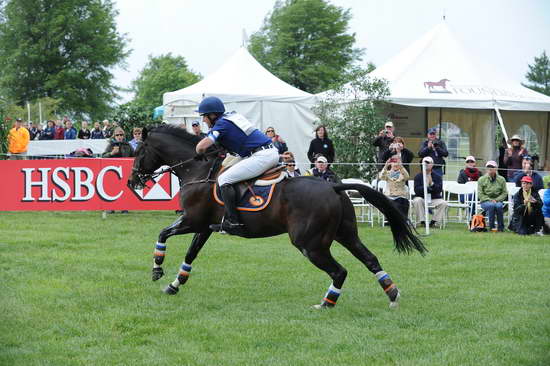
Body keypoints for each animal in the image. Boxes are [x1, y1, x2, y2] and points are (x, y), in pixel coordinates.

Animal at [128, 126, 426, 308]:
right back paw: (392, 294)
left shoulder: (192, 221)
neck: (198, 170)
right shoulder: (204, 226)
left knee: (339, 271)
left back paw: (326, 303)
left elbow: (163, 234)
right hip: (345, 234)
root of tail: (332, 186)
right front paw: (174, 284)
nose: (132, 181)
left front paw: (157, 269)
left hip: (310, 244)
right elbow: (191, 255)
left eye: (139, 152)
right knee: (370, 259)